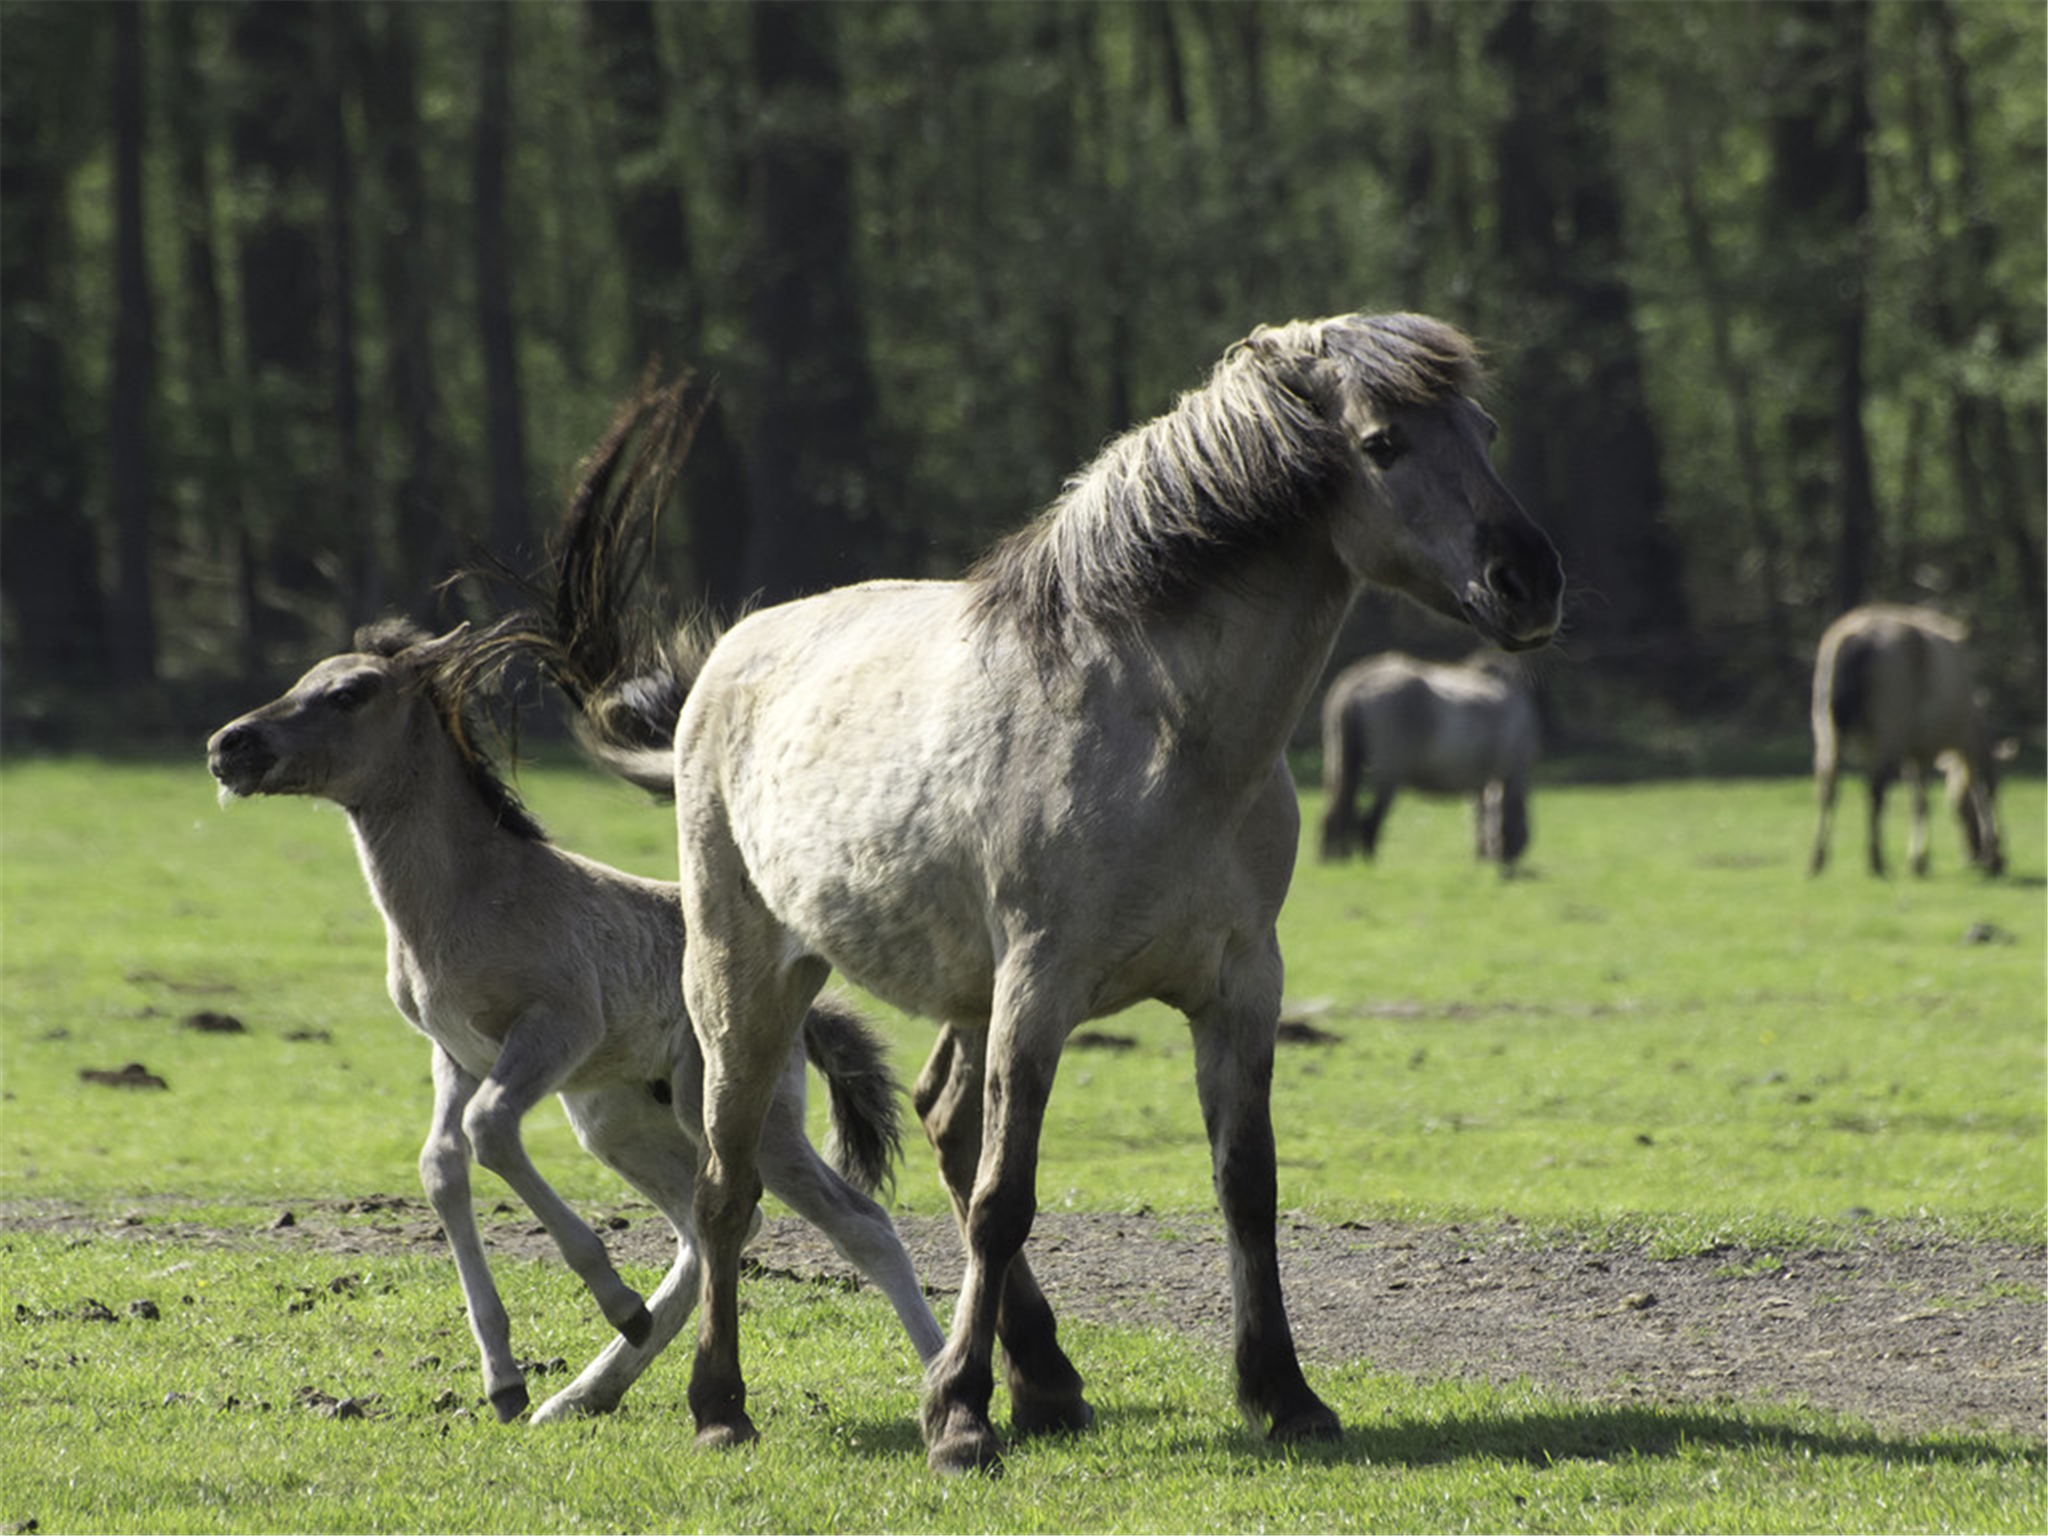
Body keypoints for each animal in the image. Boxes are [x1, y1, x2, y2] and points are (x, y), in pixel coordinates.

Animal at [201, 411, 950, 1433]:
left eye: (349, 693)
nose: (227, 746)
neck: (463, 901)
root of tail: (803, 1009)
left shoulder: (552, 1030)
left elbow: (488, 1136)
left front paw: (603, 1298)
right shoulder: (455, 1053)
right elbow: (443, 1163)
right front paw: (505, 1377)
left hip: (744, 1110)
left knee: (853, 1223)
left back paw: (934, 1373)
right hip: (619, 1118)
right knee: (713, 1221)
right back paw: (583, 1391)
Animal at [1310, 651, 1540, 868]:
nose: (1507, 860)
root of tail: (1357, 684)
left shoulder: (1480, 784)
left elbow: (1479, 817)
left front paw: (1481, 855)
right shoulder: (1503, 775)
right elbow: (1486, 816)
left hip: (1338, 767)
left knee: (1337, 811)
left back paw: (1333, 858)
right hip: (1387, 776)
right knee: (1369, 820)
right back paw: (1369, 862)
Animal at [1810, 606, 1998, 884]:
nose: (1981, 858)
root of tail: (1859, 638)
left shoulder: (1913, 753)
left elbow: (1919, 803)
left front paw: (1919, 859)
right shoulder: (1953, 747)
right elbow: (1969, 793)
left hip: (1827, 731)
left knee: (1828, 786)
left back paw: (1818, 859)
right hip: (1889, 732)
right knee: (1876, 791)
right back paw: (1877, 860)